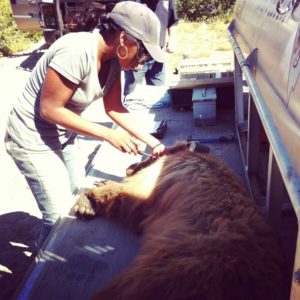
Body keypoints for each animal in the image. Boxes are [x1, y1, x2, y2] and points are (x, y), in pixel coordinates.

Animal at [74, 141, 284, 300]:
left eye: (148, 157)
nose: (130, 166)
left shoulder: (150, 184)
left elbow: (124, 194)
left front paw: (89, 198)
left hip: (163, 271)